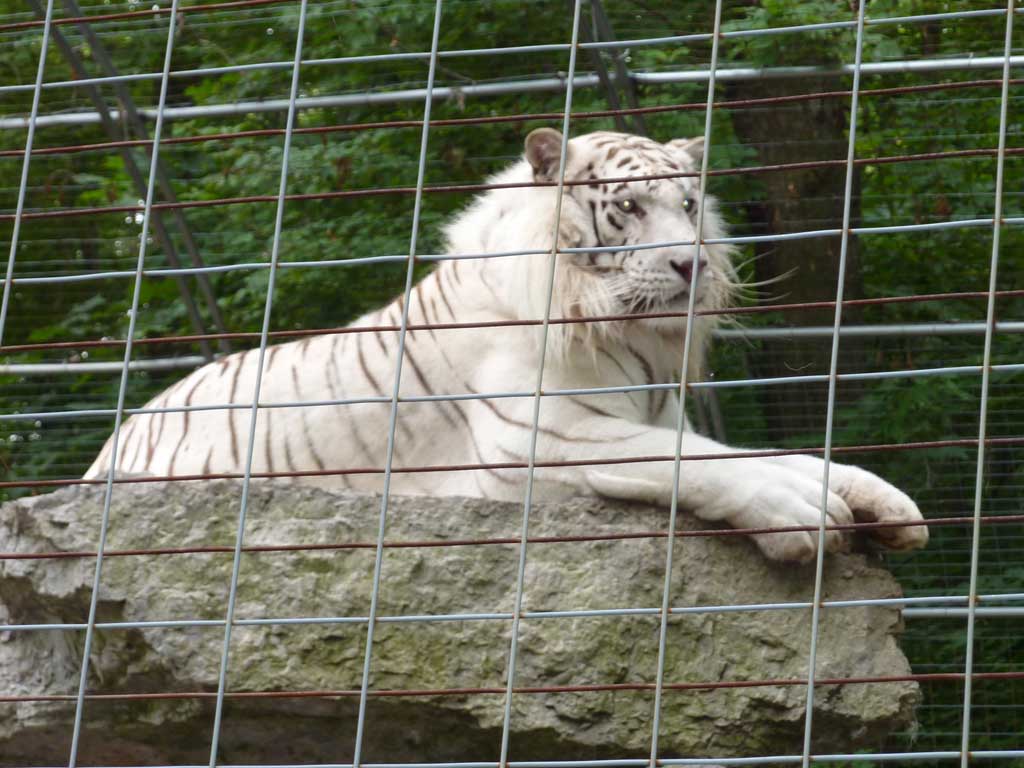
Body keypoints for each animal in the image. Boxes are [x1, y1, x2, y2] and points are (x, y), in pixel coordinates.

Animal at [88, 129, 929, 565]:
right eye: (629, 208)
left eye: (690, 206)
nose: (690, 264)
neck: (631, 335)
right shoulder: (533, 435)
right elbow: (694, 463)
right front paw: (798, 512)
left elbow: (759, 452)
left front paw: (881, 502)